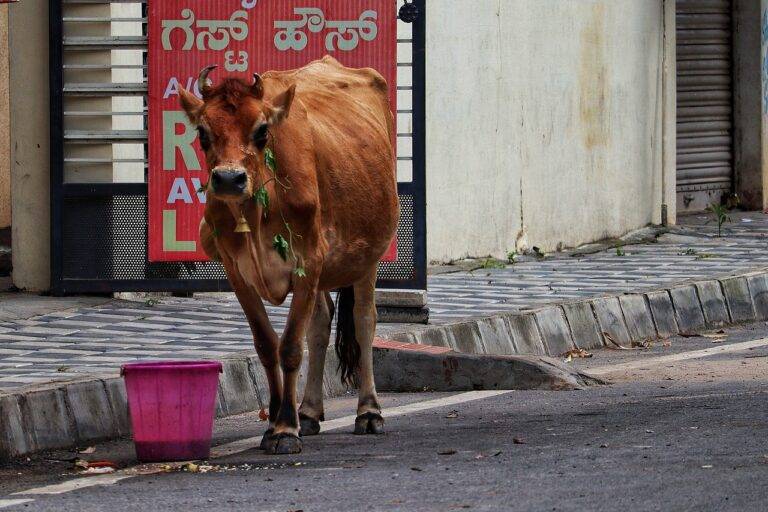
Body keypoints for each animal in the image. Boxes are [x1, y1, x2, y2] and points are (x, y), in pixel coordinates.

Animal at [178, 56, 396, 454]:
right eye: (202, 132)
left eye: (262, 130)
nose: (229, 179)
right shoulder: (237, 273)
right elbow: (267, 344)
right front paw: (278, 419)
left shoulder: (307, 262)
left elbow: (291, 346)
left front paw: (283, 429)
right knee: (321, 323)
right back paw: (307, 412)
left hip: (368, 256)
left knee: (364, 321)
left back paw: (369, 412)